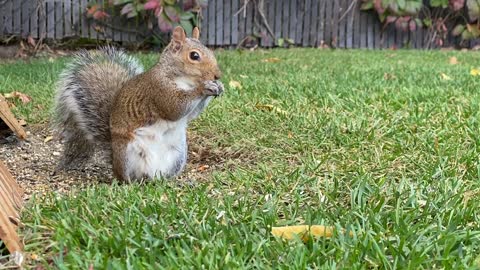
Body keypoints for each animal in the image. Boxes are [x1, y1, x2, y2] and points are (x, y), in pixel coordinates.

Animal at [53, 26, 224, 182]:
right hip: (126, 154)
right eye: (194, 56)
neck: (184, 80)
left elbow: (192, 114)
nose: (217, 75)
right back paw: (130, 184)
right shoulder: (159, 89)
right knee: (126, 178)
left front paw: (219, 86)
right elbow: (176, 108)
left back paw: (169, 182)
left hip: (178, 155)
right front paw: (204, 88)